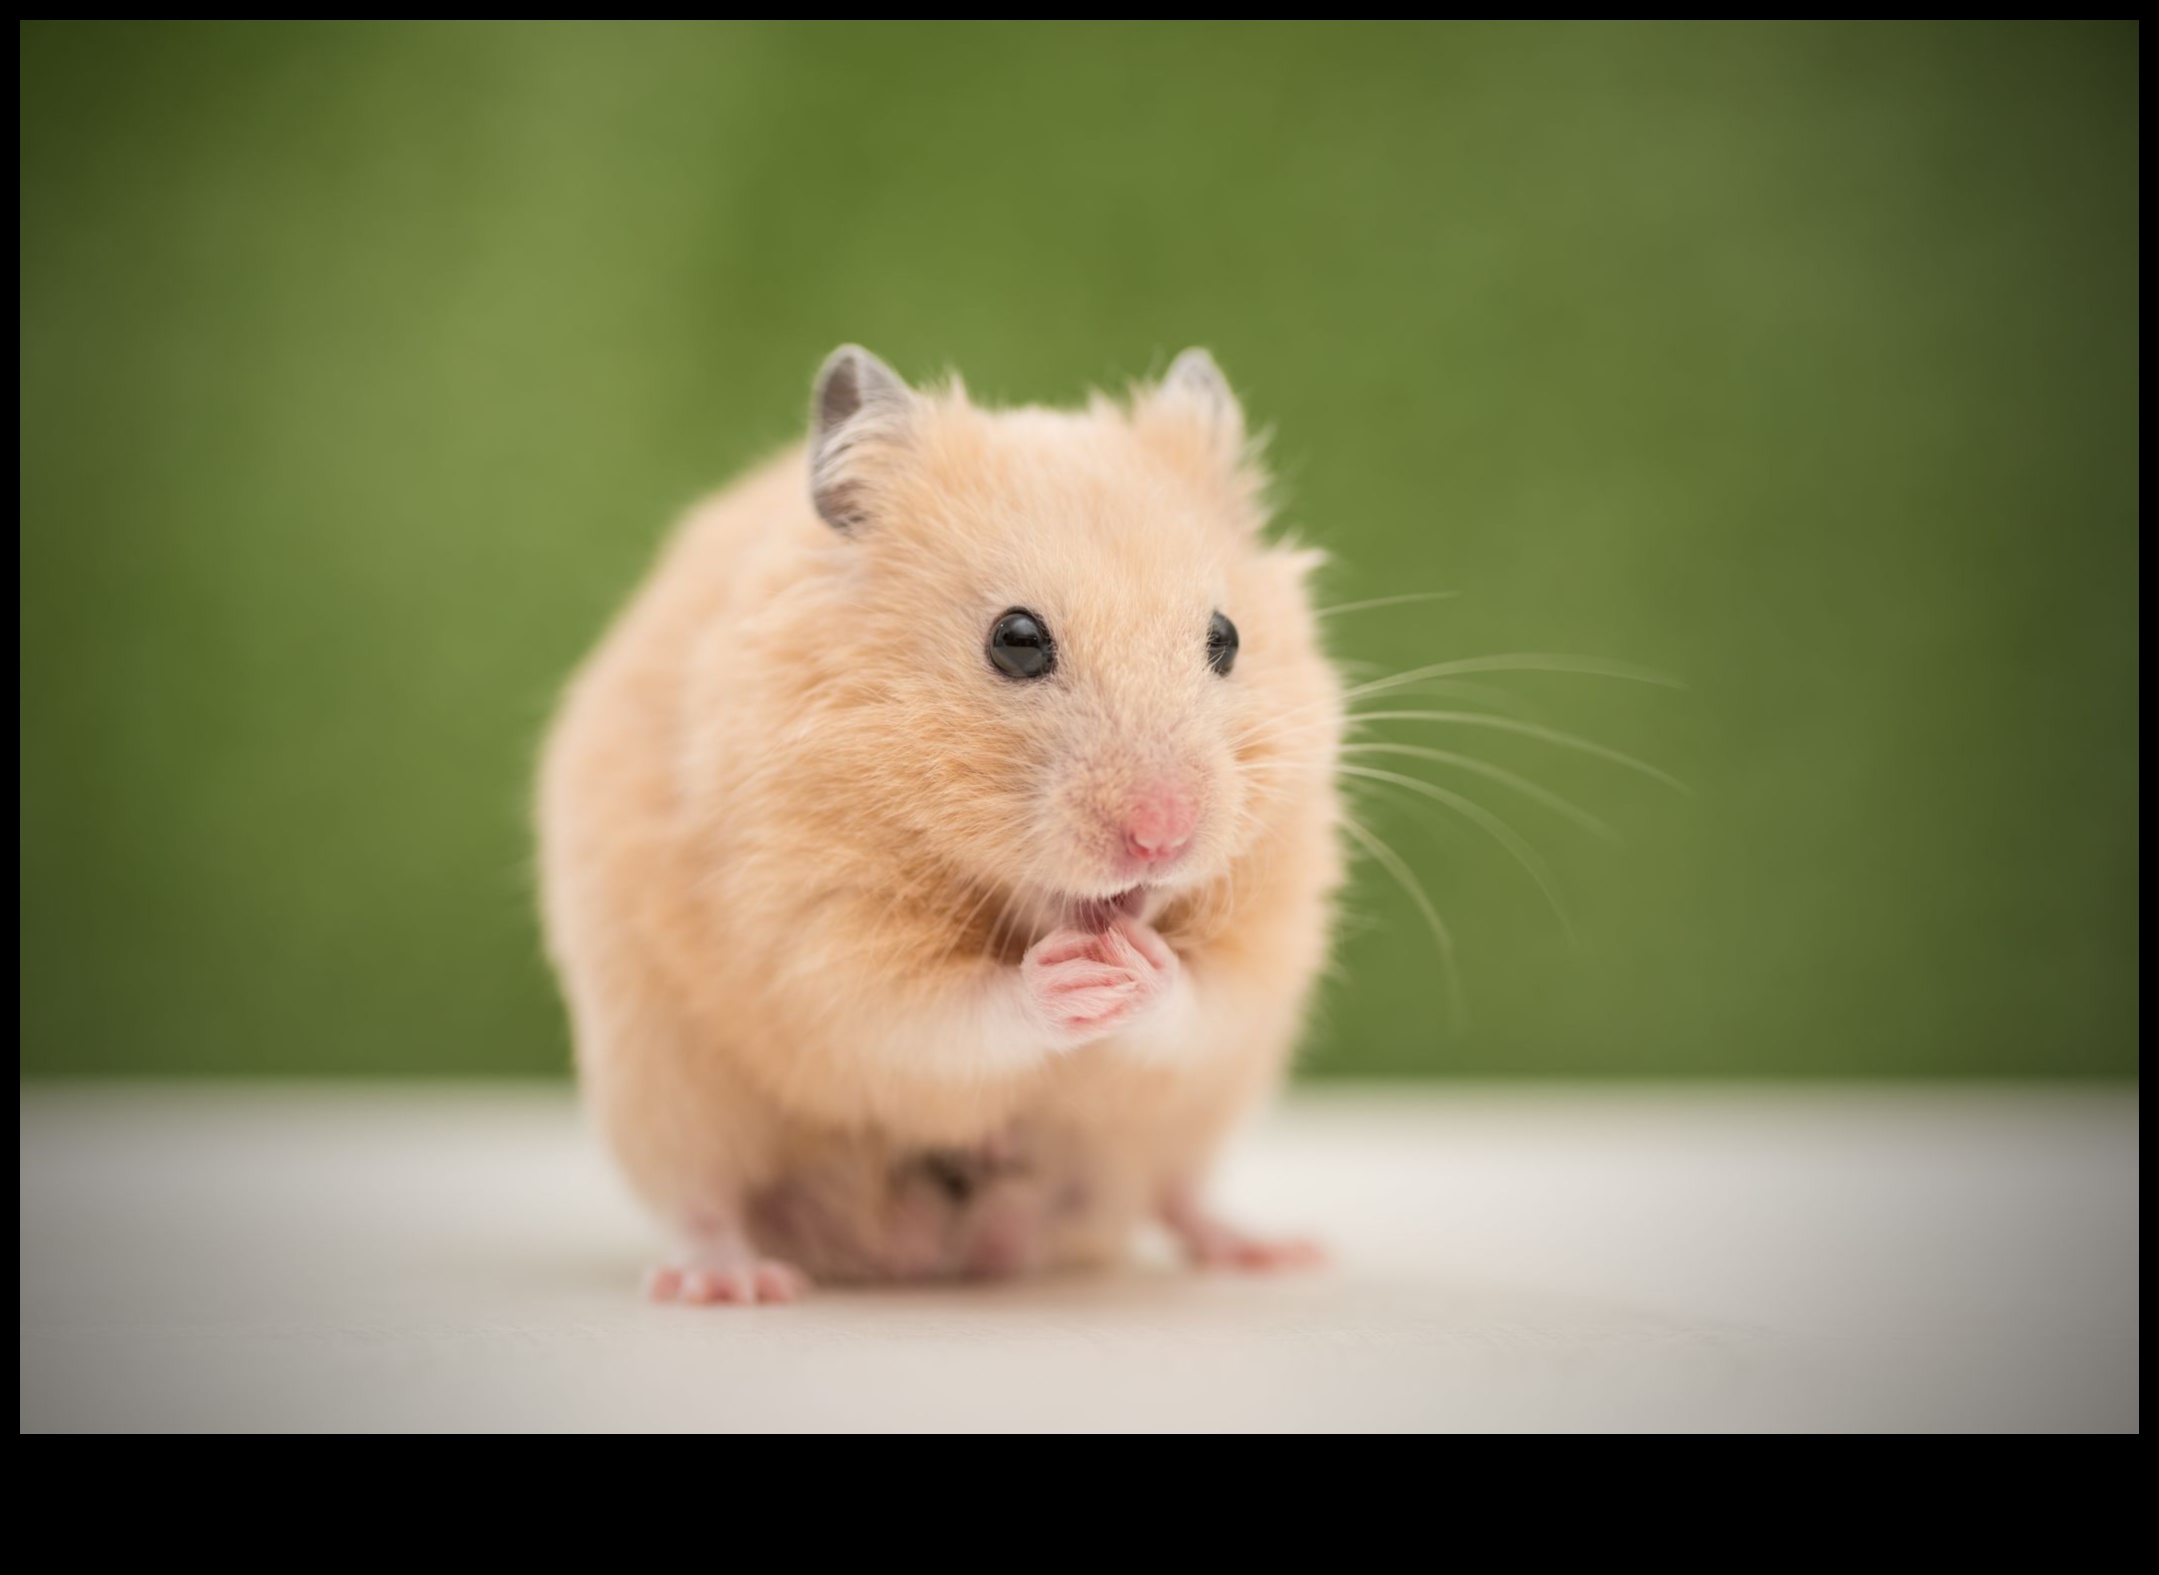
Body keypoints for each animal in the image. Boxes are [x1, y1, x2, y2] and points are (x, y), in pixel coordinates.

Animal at [537, 345, 1344, 1303]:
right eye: (1016, 640)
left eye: (1225, 637)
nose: (1163, 836)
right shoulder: (816, 934)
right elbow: (936, 1015)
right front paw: (1069, 978)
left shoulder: (1271, 932)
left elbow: (1204, 997)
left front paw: (1137, 968)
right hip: (659, 1085)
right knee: (703, 1200)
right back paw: (732, 1281)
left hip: (1192, 1119)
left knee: (1174, 1191)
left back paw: (1273, 1249)